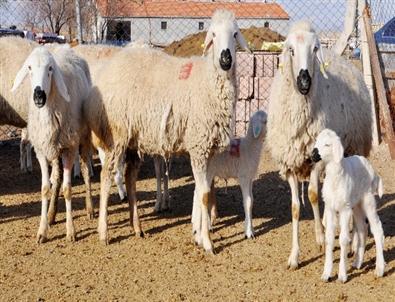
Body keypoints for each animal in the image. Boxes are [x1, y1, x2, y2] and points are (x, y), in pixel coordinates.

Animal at [11, 45, 93, 243]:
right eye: (29, 68)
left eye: (50, 69)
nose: (38, 95)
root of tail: (68, 48)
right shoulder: (41, 151)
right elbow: (45, 188)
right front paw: (42, 231)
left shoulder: (70, 148)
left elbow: (68, 189)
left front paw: (71, 231)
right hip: (54, 148)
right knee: (56, 177)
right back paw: (51, 214)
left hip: (83, 138)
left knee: (86, 170)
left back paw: (90, 208)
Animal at [86, 8, 251, 252]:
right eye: (212, 34)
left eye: (235, 33)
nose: (225, 59)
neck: (208, 82)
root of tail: (106, 73)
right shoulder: (199, 145)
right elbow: (203, 193)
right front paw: (207, 242)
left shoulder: (207, 149)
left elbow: (202, 191)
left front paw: (198, 233)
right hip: (117, 136)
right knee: (106, 177)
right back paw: (104, 232)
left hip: (133, 140)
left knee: (130, 178)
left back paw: (137, 228)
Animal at [193, 109, 270, 239]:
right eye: (265, 121)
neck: (250, 147)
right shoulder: (243, 177)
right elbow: (247, 202)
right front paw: (249, 233)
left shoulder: (250, 178)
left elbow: (252, 200)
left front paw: (250, 228)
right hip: (206, 174)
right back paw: (205, 227)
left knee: (197, 194)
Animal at [266, 20, 374, 268]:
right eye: (290, 50)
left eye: (315, 49)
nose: (304, 82)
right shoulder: (290, 162)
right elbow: (296, 208)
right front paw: (294, 256)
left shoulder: (315, 160)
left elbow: (314, 195)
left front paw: (321, 239)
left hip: (355, 148)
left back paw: (349, 241)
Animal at [310, 129, 386, 284]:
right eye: (316, 141)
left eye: (327, 144)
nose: (313, 155)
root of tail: (373, 171)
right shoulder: (330, 208)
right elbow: (329, 238)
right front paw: (326, 274)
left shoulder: (344, 209)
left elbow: (344, 239)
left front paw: (342, 275)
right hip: (356, 204)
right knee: (362, 228)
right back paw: (357, 263)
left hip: (368, 200)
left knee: (377, 229)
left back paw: (379, 269)